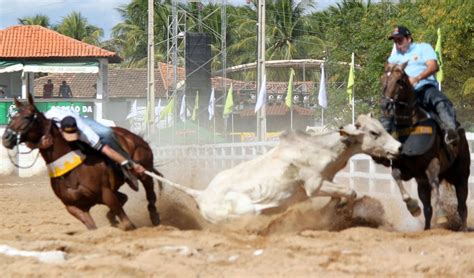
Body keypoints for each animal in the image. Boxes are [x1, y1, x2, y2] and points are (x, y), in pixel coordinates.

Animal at [2, 93, 163, 230]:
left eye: (27, 117)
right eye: (12, 117)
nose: (6, 138)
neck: (71, 171)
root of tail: (135, 137)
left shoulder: (107, 194)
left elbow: (128, 223)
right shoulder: (74, 207)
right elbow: (92, 226)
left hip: (145, 171)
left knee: (150, 194)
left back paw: (155, 217)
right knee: (125, 197)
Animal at [159, 113, 400, 224]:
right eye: (374, 133)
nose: (398, 147)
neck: (320, 148)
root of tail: (201, 194)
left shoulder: (326, 182)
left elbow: (339, 195)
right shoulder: (314, 186)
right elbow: (350, 191)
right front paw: (345, 212)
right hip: (244, 212)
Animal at [378, 63, 470, 230]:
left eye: (399, 80)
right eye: (383, 79)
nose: (385, 104)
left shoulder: (433, 163)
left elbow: (435, 183)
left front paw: (442, 216)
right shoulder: (408, 170)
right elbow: (396, 175)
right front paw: (412, 207)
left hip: (461, 177)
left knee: (462, 206)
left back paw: (463, 228)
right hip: (423, 184)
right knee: (428, 208)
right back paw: (427, 228)